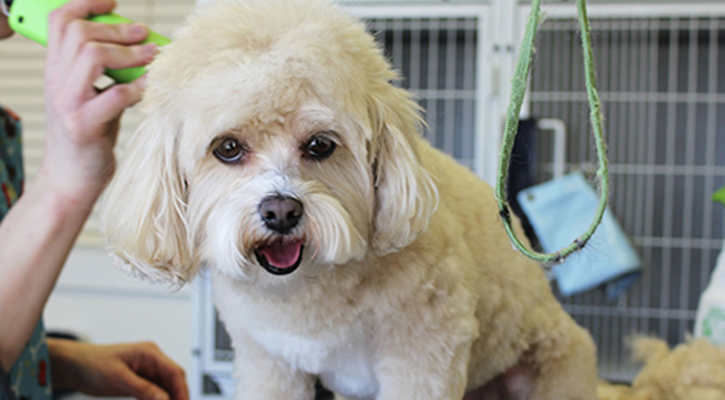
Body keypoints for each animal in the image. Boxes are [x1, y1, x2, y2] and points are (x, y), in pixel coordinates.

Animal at [103, 1, 600, 398]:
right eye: (227, 148)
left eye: (320, 145)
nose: (280, 211)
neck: (310, 288)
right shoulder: (269, 360)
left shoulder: (426, 351)